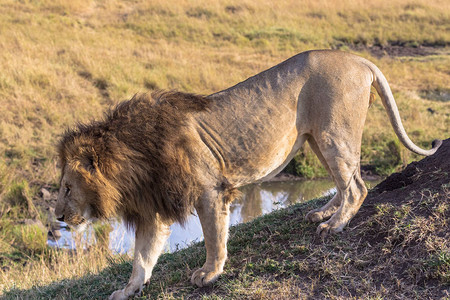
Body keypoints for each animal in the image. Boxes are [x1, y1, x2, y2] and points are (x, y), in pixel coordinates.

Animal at [54, 50, 442, 298]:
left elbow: (213, 237)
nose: (57, 216)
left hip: (334, 132)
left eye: (67, 188)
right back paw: (324, 212)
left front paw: (209, 274)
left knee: (358, 186)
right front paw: (128, 289)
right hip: (316, 137)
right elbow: (142, 257)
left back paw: (335, 225)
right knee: (344, 181)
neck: (133, 160)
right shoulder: (156, 208)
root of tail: (361, 59)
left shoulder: (208, 191)